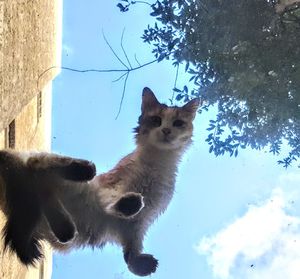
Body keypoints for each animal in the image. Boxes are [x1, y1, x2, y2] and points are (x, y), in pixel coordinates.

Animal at [0, 88, 199, 278]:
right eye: (157, 120)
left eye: (178, 123)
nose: (166, 131)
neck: (156, 164)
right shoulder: (112, 185)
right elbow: (111, 204)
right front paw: (127, 205)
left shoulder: (138, 225)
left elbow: (131, 253)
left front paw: (140, 264)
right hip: (68, 180)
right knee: (37, 166)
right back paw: (84, 173)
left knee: (45, 193)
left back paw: (65, 227)